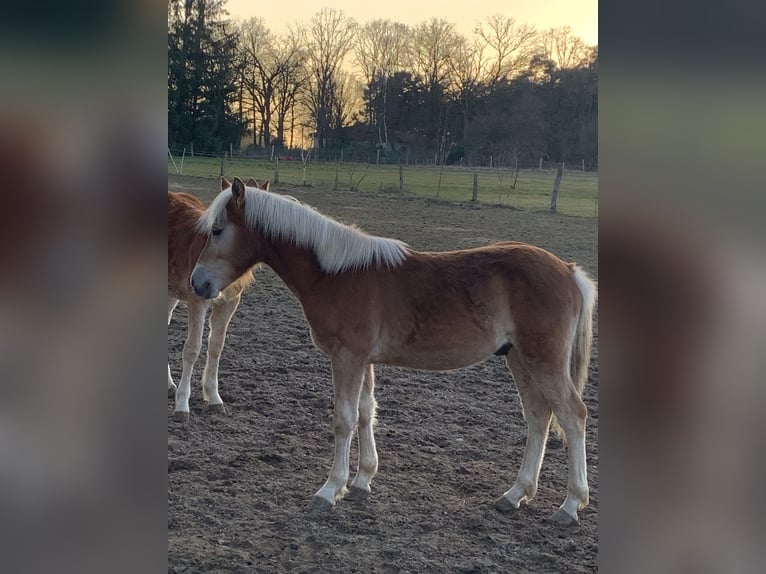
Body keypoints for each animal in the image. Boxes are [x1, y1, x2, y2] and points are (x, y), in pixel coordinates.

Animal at [167, 179, 268, 424]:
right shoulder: (197, 299)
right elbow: (192, 348)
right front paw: (182, 405)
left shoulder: (229, 303)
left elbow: (216, 346)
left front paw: (214, 398)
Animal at [192, 179, 600, 528]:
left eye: (217, 230)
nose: (198, 283)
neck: (334, 273)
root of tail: (568, 271)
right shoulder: (363, 361)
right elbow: (365, 413)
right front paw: (361, 481)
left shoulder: (347, 358)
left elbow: (343, 420)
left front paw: (329, 490)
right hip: (519, 358)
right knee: (539, 417)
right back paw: (515, 494)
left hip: (543, 360)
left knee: (572, 415)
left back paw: (569, 505)